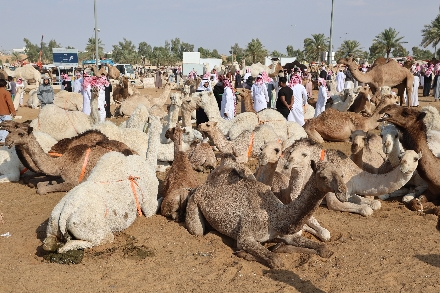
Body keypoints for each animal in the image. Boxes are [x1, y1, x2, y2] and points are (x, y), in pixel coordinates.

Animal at [4, 125, 136, 194]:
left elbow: (42, 189)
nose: (7, 140)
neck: (59, 163)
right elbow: (42, 183)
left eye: (21, 133)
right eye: (11, 131)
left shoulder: (73, 182)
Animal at [184, 155, 346, 266]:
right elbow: (275, 260)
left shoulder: (288, 235)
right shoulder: (245, 236)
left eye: (341, 174)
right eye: (323, 176)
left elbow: (323, 248)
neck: (276, 217)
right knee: (198, 231)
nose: (343, 191)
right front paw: (245, 254)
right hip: (194, 204)